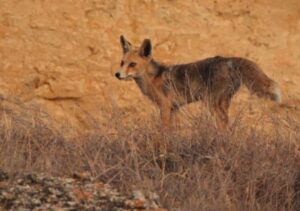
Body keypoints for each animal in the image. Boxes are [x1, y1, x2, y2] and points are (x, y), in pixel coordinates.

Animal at [114, 35, 282, 129]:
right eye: (122, 62)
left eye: (132, 64)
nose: (117, 74)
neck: (154, 78)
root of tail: (228, 60)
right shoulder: (174, 108)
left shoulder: (165, 107)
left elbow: (164, 131)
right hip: (222, 104)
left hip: (213, 104)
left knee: (224, 127)